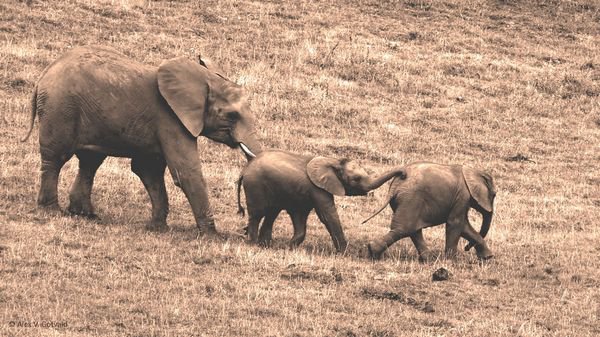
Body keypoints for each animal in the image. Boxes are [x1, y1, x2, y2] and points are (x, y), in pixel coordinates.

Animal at [22, 44, 262, 232]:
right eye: (231, 115)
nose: (243, 227)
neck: (203, 79)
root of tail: (44, 74)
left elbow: (148, 170)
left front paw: (157, 228)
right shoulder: (170, 119)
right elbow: (185, 172)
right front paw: (212, 234)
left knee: (90, 161)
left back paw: (85, 215)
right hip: (60, 108)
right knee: (56, 157)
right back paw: (52, 210)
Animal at [237, 150, 406, 252]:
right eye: (356, 179)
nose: (404, 174)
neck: (333, 161)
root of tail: (245, 169)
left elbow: (300, 217)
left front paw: (289, 247)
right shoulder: (318, 189)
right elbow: (327, 216)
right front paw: (344, 252)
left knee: (271, 213)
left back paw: (265, 245)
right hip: (255, 186)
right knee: (257, 214)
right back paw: (253, 244)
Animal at [360, 161, 496, 262]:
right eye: (494, 195)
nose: (466, 248)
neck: (473, 171)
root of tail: (402, 174)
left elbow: (464, 227)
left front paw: (487, 258)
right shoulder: (463, 196)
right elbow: (456, 223)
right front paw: (451, 262)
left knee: (412, 230)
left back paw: (427, 260)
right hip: (411, 198)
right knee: (404, 229)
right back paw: (373, 252)